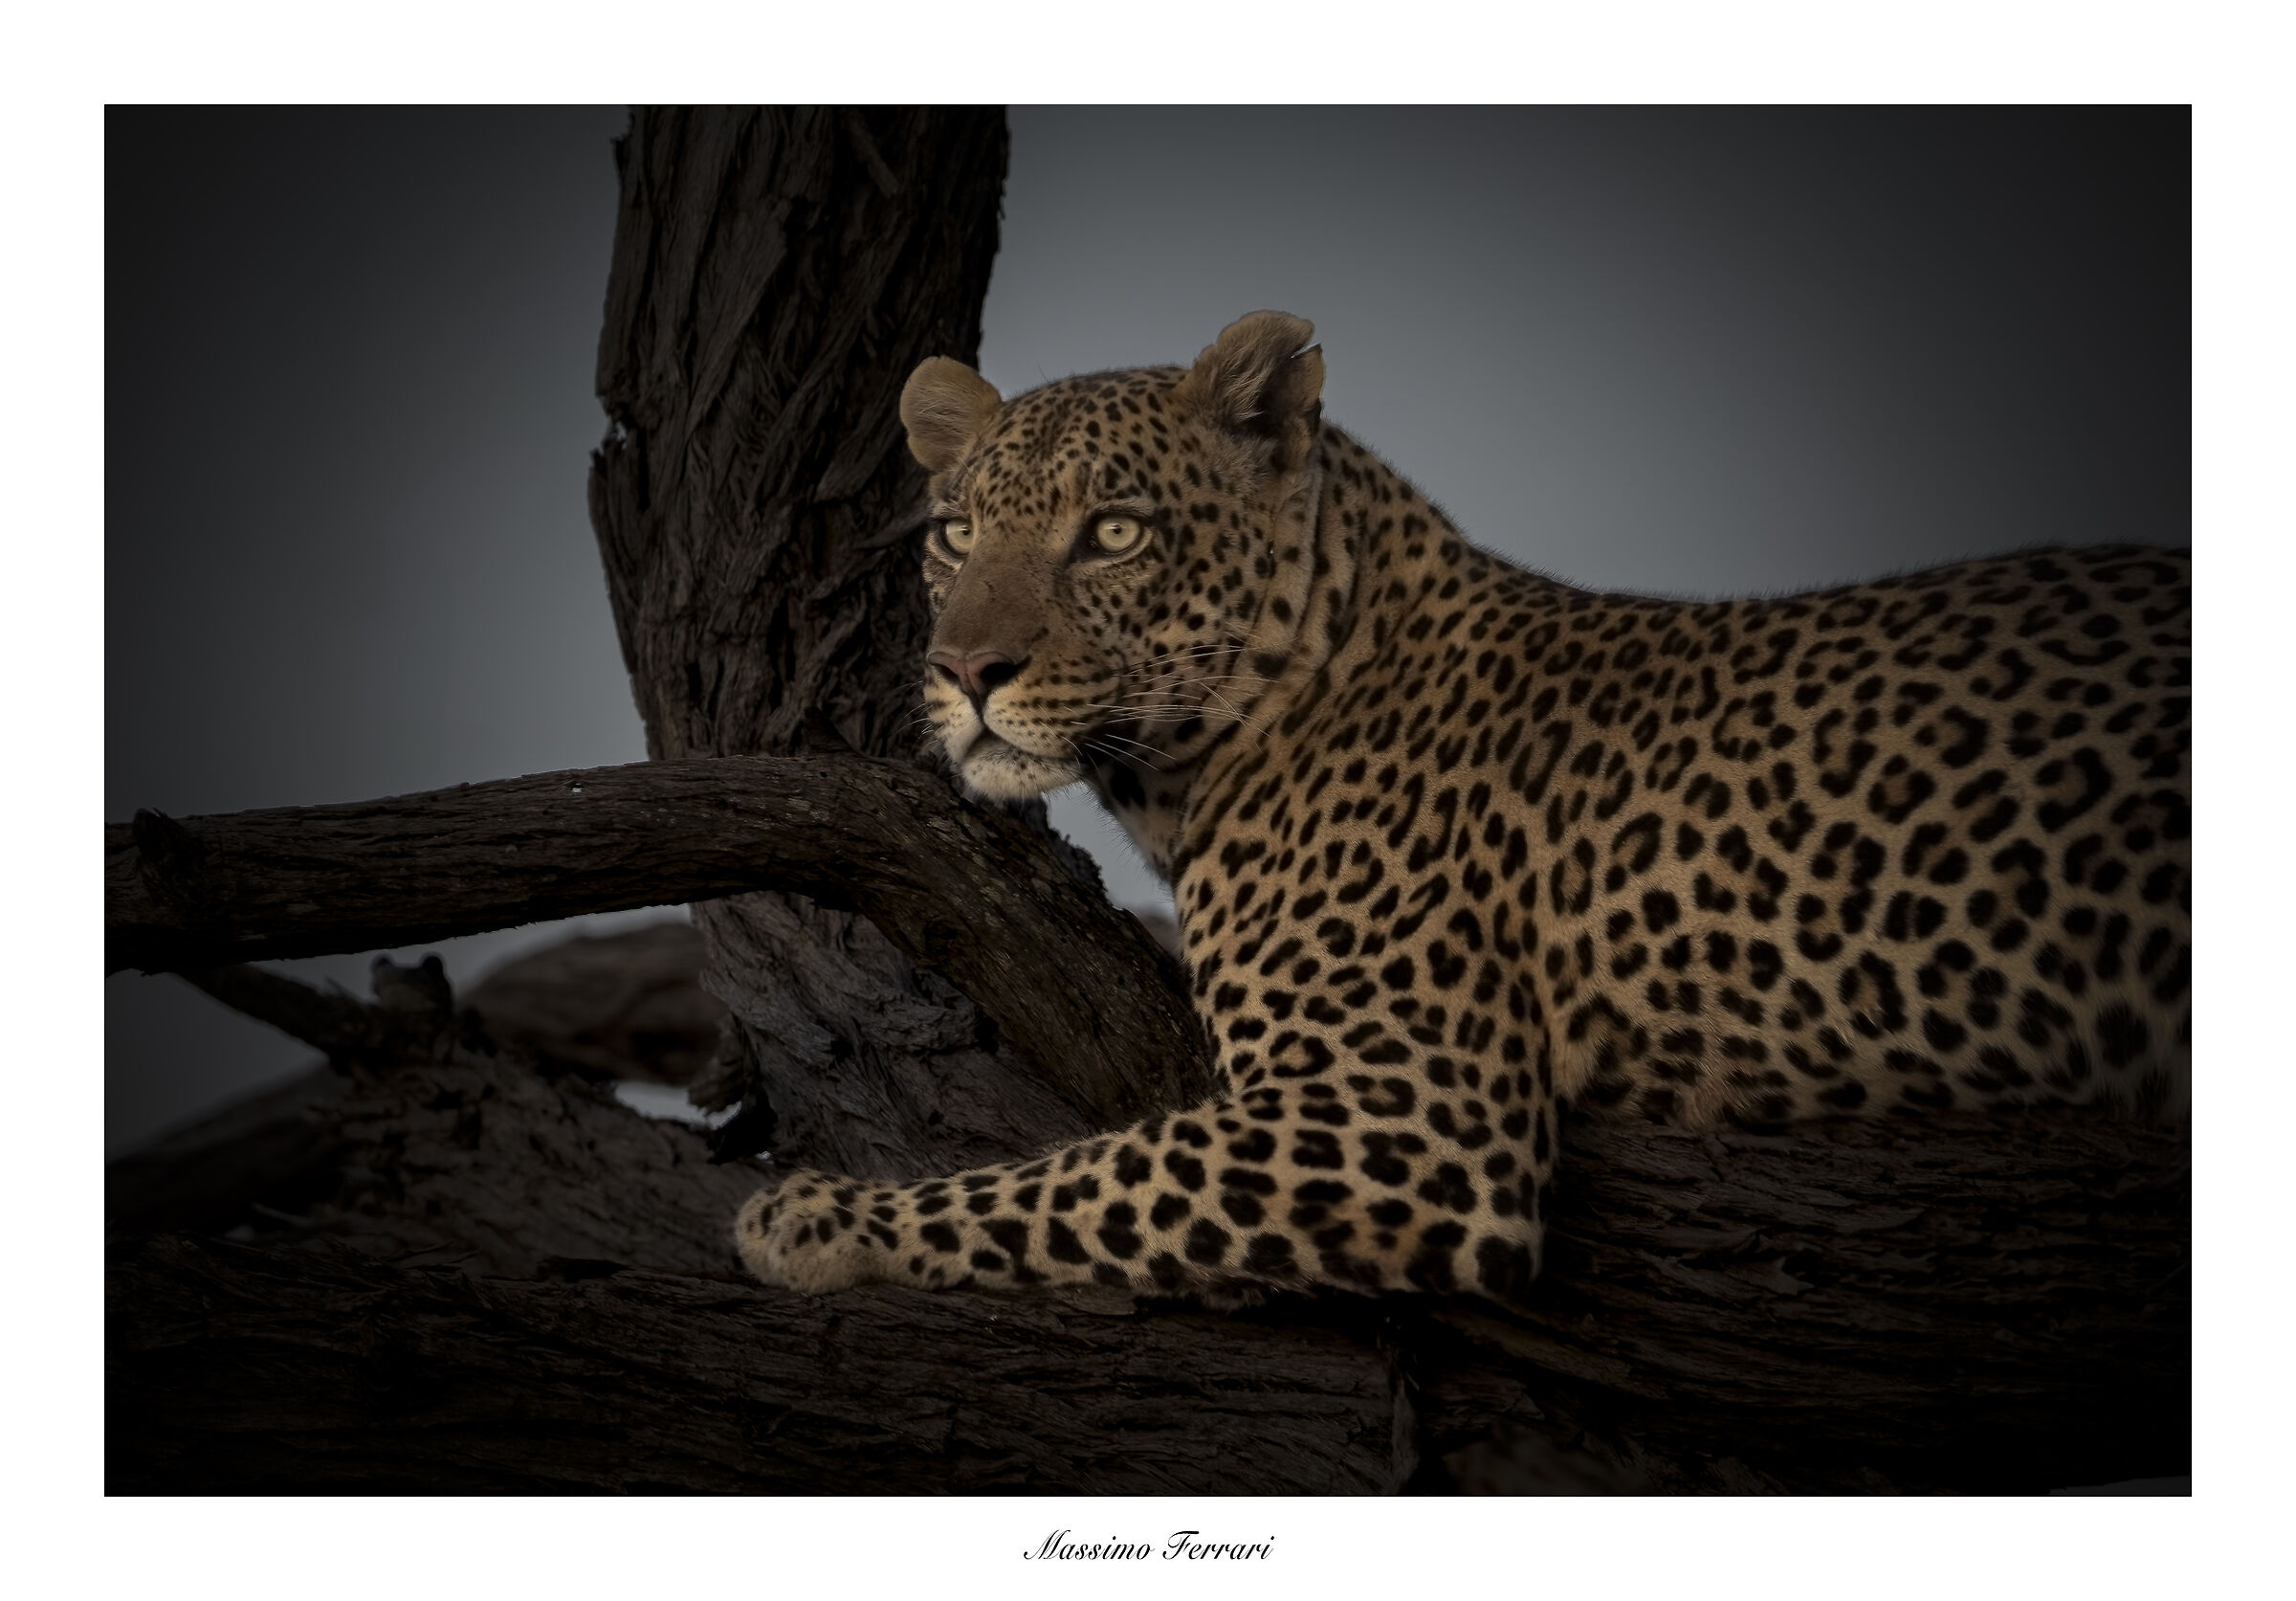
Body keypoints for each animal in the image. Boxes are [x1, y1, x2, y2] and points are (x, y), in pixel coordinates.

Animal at [736, 310, 2190, 1306]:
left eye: (1115, 534)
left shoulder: (1404, 1114)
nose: (964, 673)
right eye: (955, 535)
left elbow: (1067, 1177)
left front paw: (823, 1219)